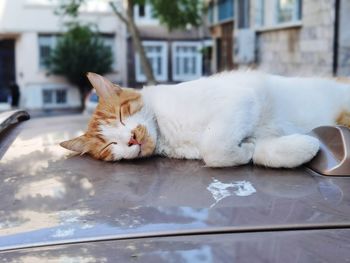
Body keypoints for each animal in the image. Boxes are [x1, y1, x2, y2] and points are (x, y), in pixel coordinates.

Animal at [58, 71, 350, 168]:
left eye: (121, 115)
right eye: (109, 145)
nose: (131, 139)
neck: (167, 134)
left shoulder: (241, 97)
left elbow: (213, 147)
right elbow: (259, 152)